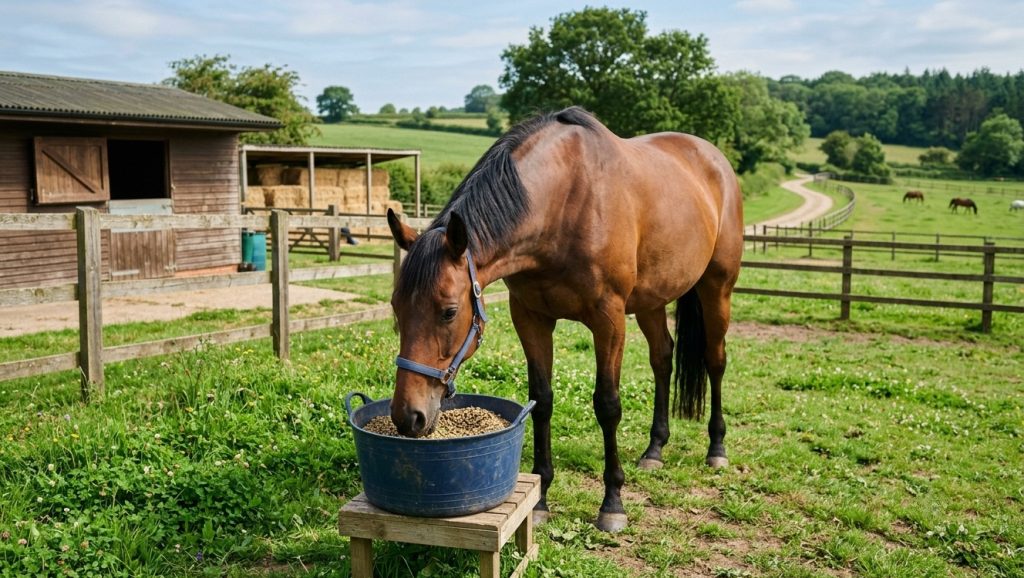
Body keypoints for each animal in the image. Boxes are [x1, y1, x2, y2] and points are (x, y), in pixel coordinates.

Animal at [386, 106, 743, 533]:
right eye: (396, 307)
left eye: (449, 311)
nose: (408, 416)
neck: (564, 203)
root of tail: (714, 159)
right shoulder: (531, 317)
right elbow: (541, 400)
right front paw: (540, 498)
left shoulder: (609, 320)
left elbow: (607, 405)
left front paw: (612, 503)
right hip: (651, 301)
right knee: (662, 358)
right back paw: (655, 449)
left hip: (717, 288)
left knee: (715, 360)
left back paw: (717, 447)